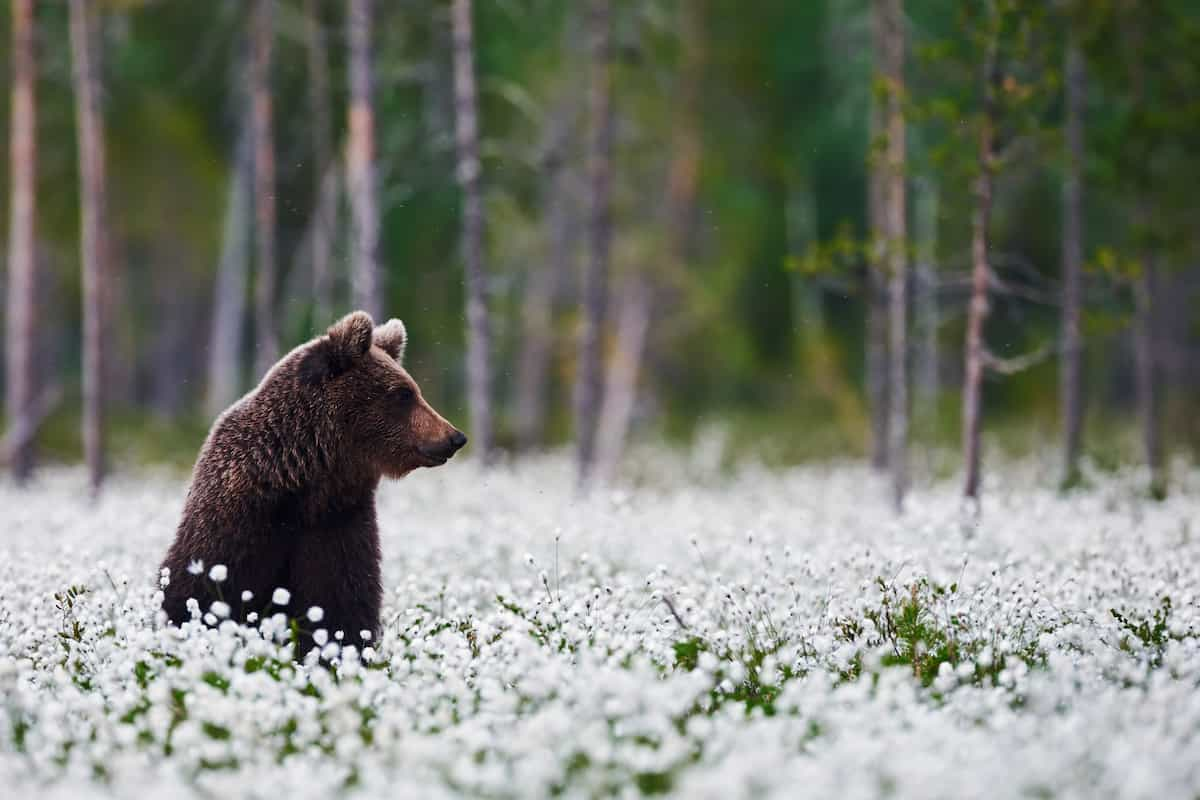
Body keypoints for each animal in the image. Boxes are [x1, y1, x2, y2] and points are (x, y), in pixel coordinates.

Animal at [163, 309, 468, 652]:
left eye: (414, 390)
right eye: (403, 394)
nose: (454, 437)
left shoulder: (338, 524)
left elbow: (341, 604)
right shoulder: (240, 520)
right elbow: (203, 588)